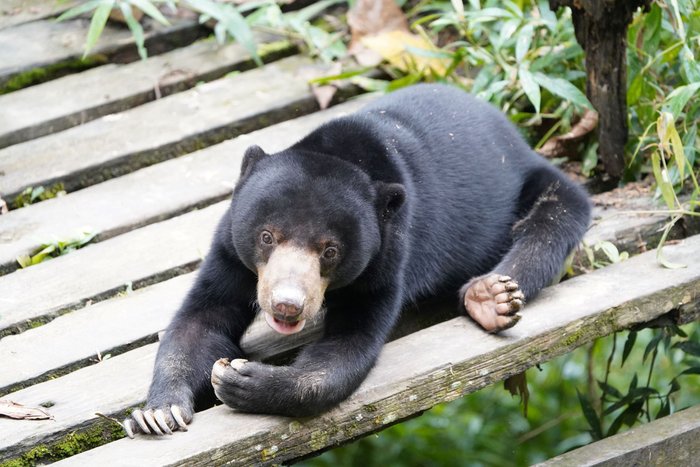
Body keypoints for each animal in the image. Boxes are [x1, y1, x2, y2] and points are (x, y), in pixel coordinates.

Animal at [123, 82, 588, 436]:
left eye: (330, 251)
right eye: (267, 236)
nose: (287, 306)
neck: (345, 152)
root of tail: (515, 137)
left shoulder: (386, 260)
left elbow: (349, 346)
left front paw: (242, 379)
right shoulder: (230, 249)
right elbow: (202, 318)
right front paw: (159, 413)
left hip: (534, 187)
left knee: (554, 220)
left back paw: (490, 297)